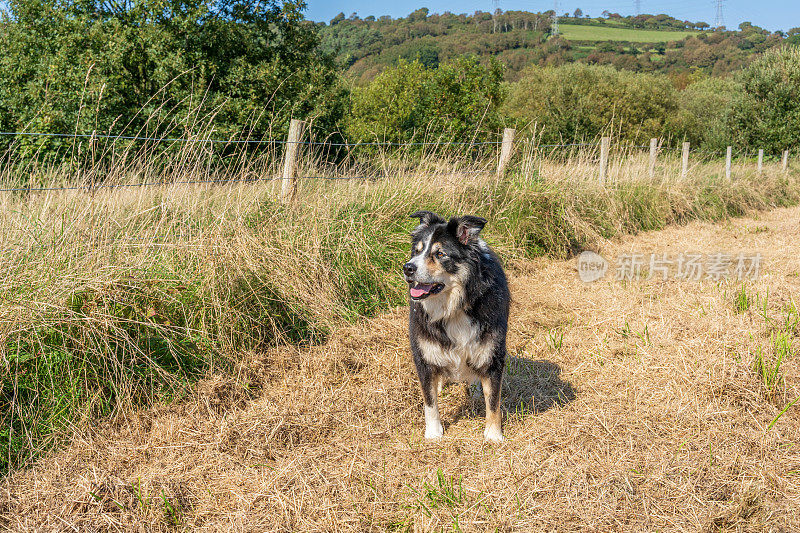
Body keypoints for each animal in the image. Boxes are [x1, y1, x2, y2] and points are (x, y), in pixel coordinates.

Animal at [404, 211, 510, 440]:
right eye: (417, 251)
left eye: (440, 253)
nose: (408, 267)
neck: (455, 306)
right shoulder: (424, 353)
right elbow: (429, 401)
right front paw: (434, 433)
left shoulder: (492, 353)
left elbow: (493, 400)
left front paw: (493, 435)